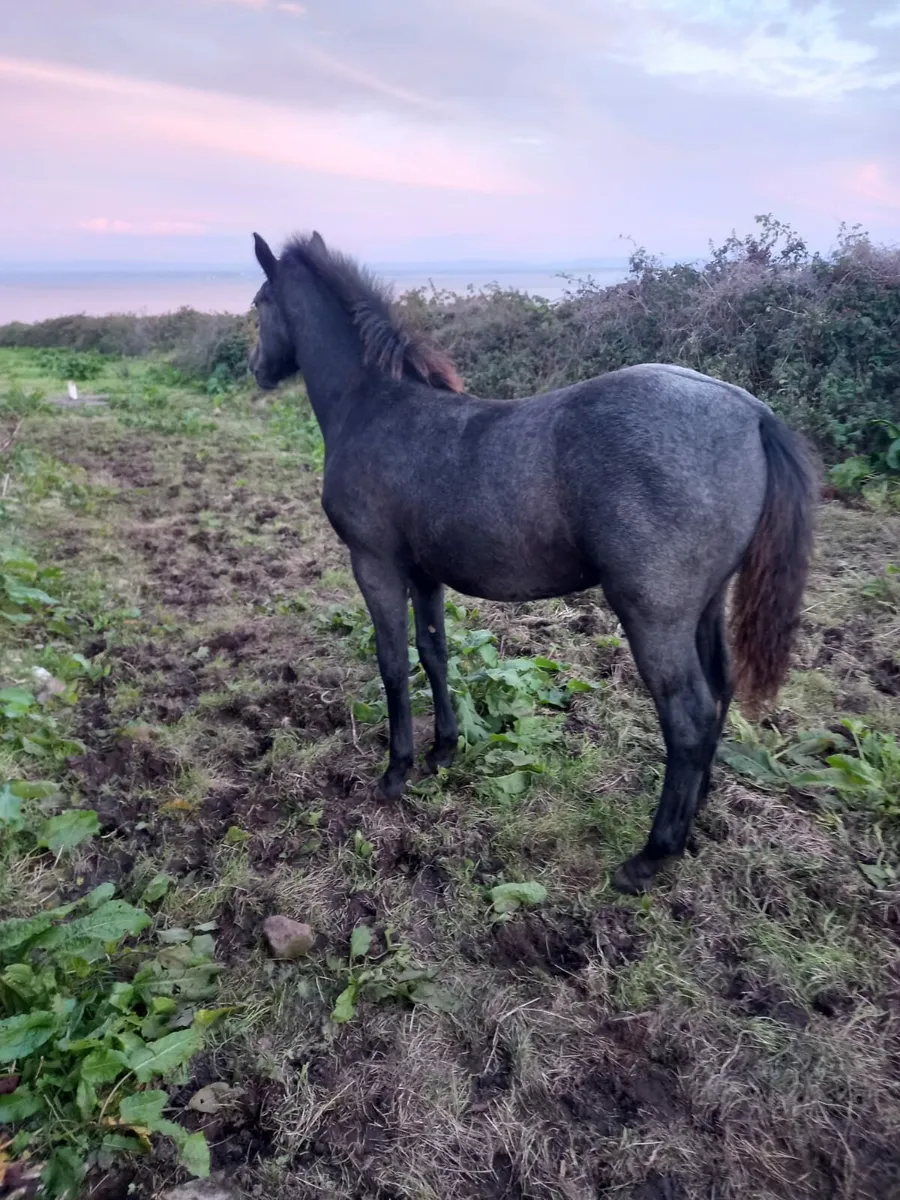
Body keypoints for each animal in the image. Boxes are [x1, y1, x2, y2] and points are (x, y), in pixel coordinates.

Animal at [248, 229, 816, 895]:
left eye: (260, 302)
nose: (256, 368)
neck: (373, 407)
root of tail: (752, 413)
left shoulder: (375, 564)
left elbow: (391, 662)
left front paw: (395, 772)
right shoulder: (424, 573)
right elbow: (434, 652)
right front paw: (443, 752)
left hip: (655, 613)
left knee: (690, 716)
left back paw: (650, 856)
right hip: (704, 605)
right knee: (720, 694)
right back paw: (692, 823)